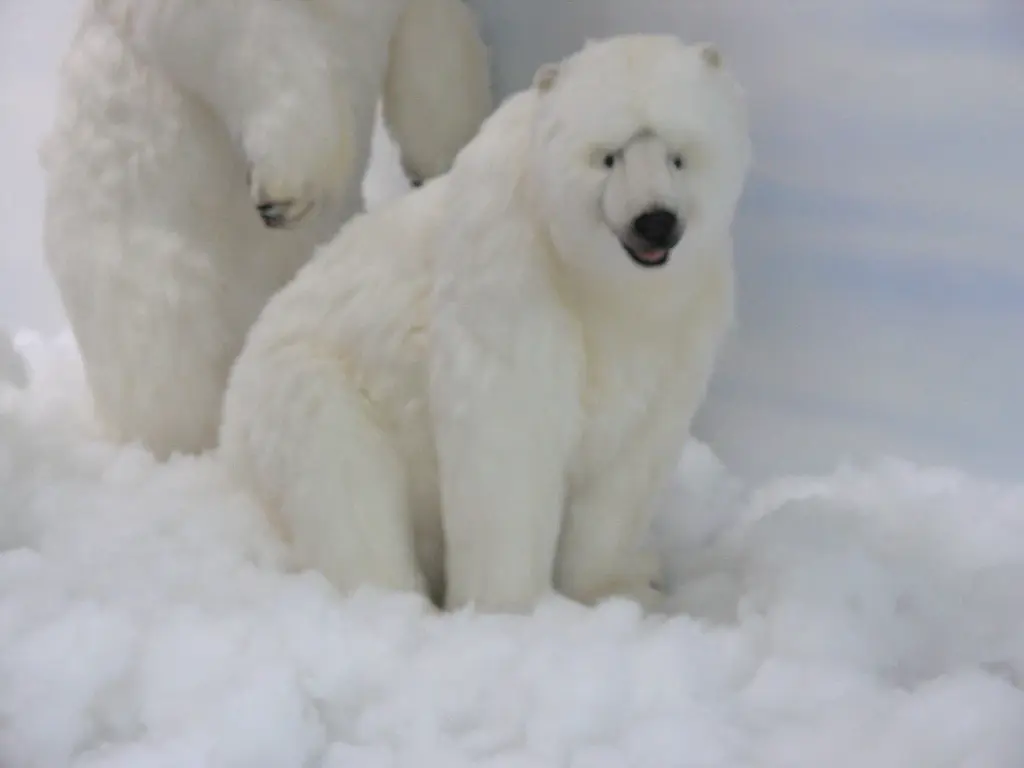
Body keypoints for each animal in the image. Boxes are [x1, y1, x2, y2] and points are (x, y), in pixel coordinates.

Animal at [217, 34, 753, 614]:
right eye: (607, 157)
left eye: (679, 156)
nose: (655, 221)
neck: (604, 289)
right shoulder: (510, 276)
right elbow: (509, 435)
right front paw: (512, 608)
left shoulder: (683, 322)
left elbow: (630, 465)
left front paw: (618, 588)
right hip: (308, 394)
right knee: (345, 489)